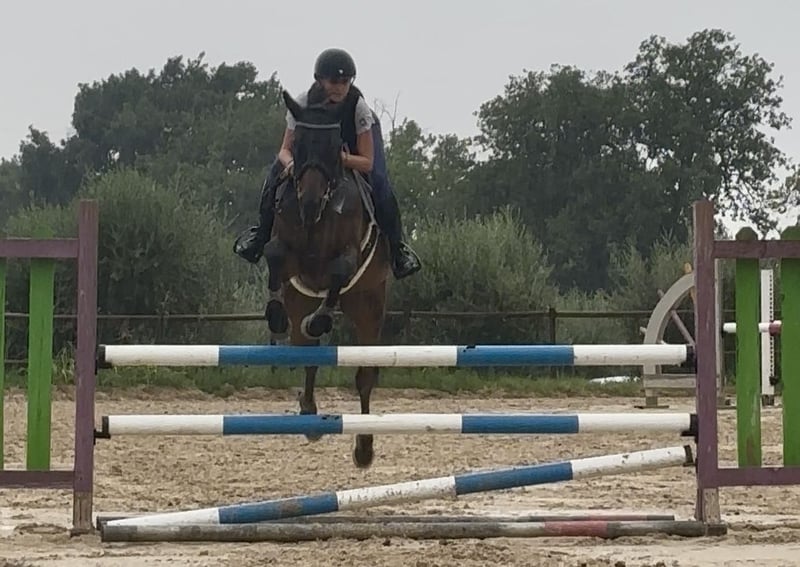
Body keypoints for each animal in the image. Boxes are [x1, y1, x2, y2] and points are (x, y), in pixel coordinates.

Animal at [262, 89, 392, 468]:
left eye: (335, 148)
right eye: (299, 144)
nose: (309, 202)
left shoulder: (347, 256)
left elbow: (339, 270)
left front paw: (319, 320)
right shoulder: (289, 256)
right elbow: (274, 253)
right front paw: (275, 313)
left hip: (369, 306)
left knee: (365, 376)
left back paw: (364, 449)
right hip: (301, 297)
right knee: (307, 355)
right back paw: (309, 416)